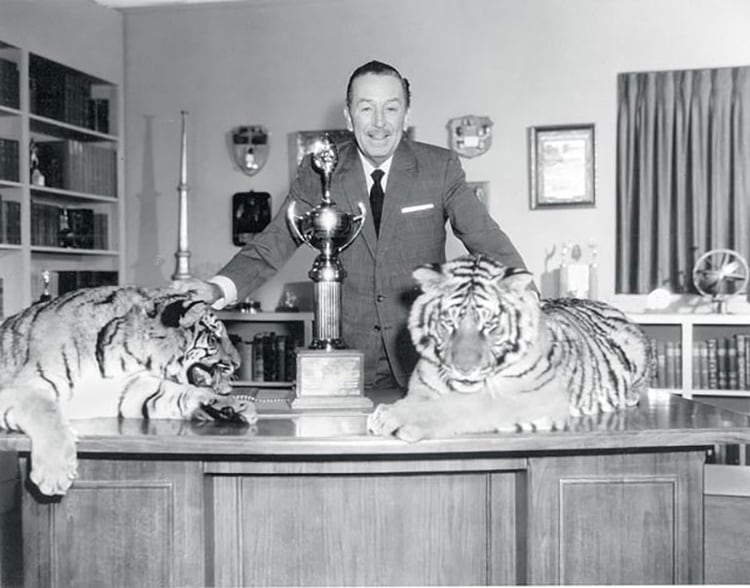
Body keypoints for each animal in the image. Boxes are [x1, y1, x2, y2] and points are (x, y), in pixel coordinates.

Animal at [0, 284, 256, 496]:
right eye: (213, 339)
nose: (238, 363)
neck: (126, 354)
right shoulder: (22, 389)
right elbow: (46, 412)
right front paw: (55, 474)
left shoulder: (124, 390)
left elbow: (176, 393)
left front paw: (234, 405)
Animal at [368, 253, 656, 440]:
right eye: (449, 321)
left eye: (490, 325)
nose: (464, 369)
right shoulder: (422, 389)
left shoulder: (532, 397)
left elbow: (464, 405)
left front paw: (393, 417)